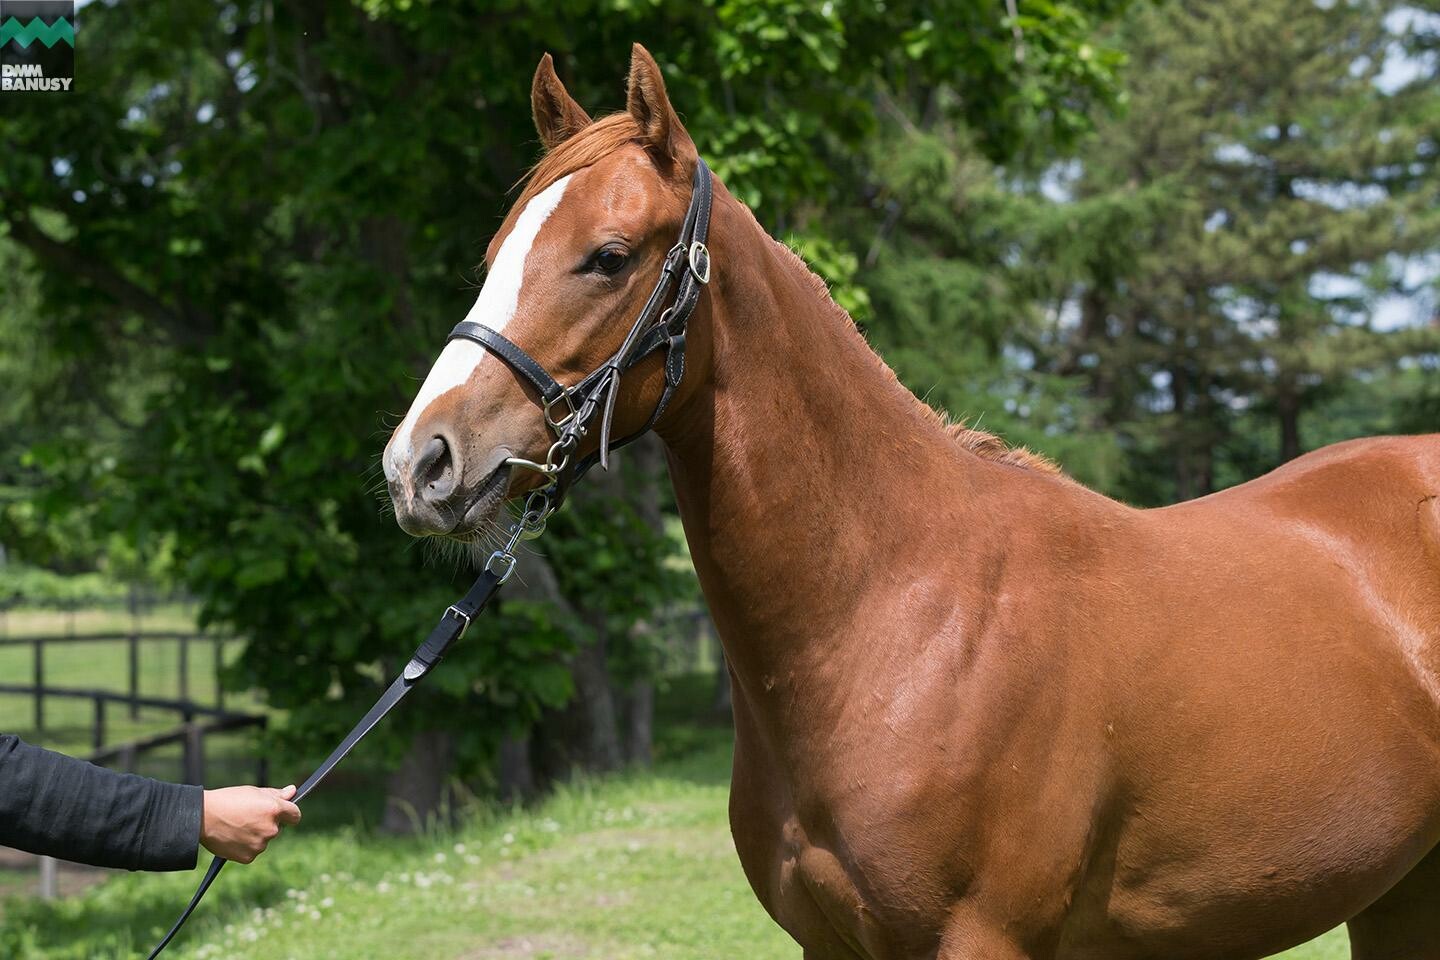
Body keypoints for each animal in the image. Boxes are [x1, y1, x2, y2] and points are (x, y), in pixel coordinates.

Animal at [383, 44, 1440, 960]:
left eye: (606, 255)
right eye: (495, 249)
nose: (420, 463)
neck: (898, 610)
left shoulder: (981, 940)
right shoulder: (827, 943)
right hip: (1399, 894)